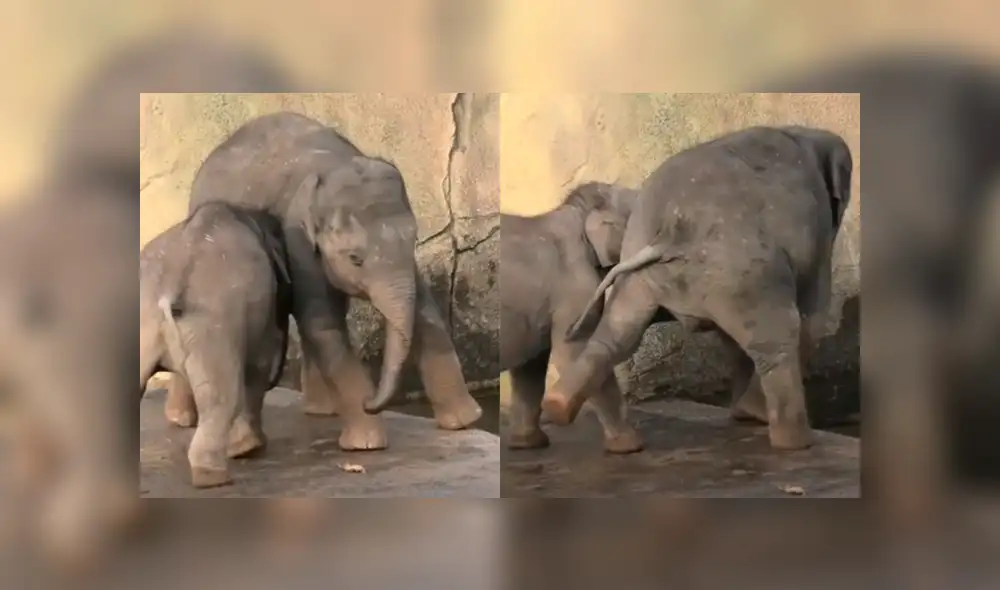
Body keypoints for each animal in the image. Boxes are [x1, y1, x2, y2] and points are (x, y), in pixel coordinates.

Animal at [139, 202, 293, 488]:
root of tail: (168, 287)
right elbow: (257, 365)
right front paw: (250, 448)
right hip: (212, 325)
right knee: (222, 396)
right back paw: (213, 477)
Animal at [169, 111, 482, 452]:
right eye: (355, 258)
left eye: (414, 239)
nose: (372, 402)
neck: (334, 167)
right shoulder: (298, 238)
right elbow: (323, 323)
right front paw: (366, 444)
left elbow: (424, 311)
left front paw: (464, 422)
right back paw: (180, 420)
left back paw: (322, 411)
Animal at [500, 181, 649, 453]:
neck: (579, 209)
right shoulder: (573, 285)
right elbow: (576, 350)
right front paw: (631, 446)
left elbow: (532, 365)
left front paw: (528, 443)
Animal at [546, 125, 854, 451]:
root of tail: (670, 230)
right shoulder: (819, 230)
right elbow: (813, 317)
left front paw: (742, 414)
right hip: (739, 266)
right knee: (777, 336)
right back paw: (793, 440)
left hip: (649, 268)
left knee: (616, 335)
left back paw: (558, 407)